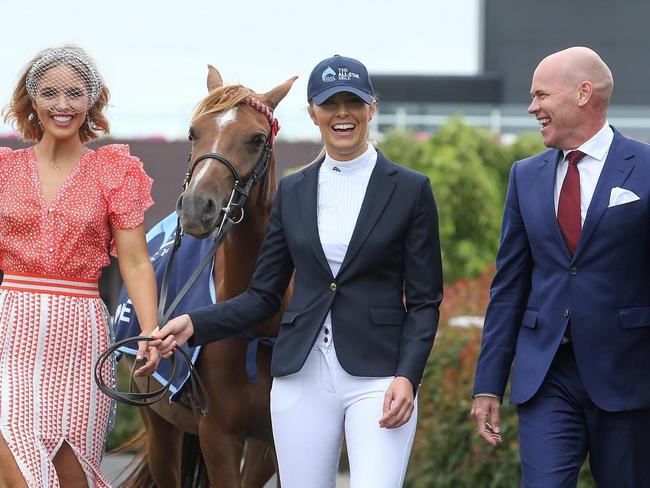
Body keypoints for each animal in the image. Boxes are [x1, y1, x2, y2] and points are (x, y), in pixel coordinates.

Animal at [120, 66, 294, 488]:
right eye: (193, 132)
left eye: (257, 138)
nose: (198, 207)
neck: (257, 329)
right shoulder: (218, 437)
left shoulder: (277, 443)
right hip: (159, 429)